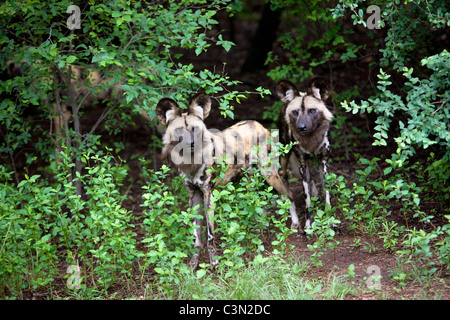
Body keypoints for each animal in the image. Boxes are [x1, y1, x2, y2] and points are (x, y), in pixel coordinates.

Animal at [155, 92, 298, 268]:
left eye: (195, 129)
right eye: (179, 130)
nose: (191, 143)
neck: (191, 162)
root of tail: (259, 125)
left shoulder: (208, 194)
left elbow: (210, 235)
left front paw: (214, 262)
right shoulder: (193, 194)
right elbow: (196, 236)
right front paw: (194, 263)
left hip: (268, 174)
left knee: (288, 194)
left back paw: (295, 225)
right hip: (251, 179)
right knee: (262, 201)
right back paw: (260, 228)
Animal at [274, 77, 334, 232]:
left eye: (312, 111)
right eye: (295, 112)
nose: (301, 127)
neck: (310, 141)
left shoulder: (323, 162)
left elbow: (327, 194)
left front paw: (332, 223)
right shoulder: (301, 164)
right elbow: (307, 201)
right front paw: (308, 226)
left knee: (312, 178)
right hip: (284, 162)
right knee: (288, 191)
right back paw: (295, 221)